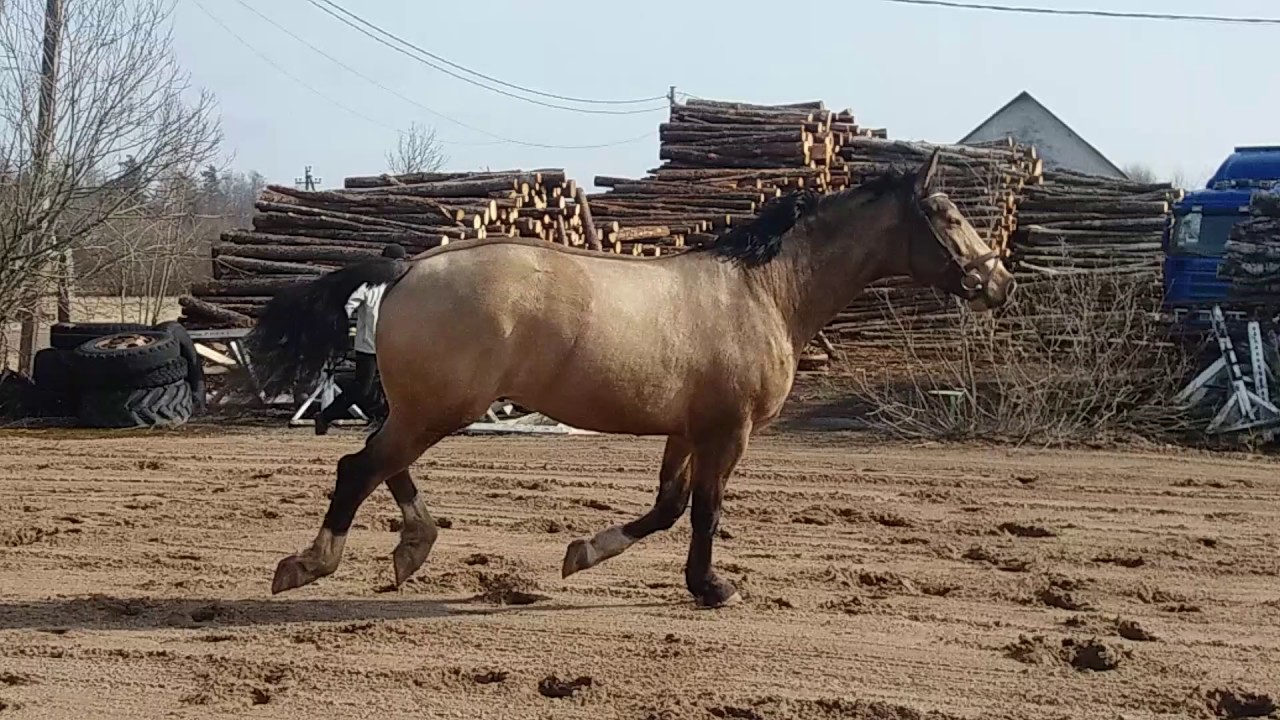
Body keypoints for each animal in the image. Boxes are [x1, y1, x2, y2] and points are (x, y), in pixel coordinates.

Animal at [245, 149, 1015, 609]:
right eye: (947, 215)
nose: (999, 284)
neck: (763, 290)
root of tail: (406, 268)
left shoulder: (687, 429)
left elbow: (668, 507)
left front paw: (582, 554)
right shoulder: (727, 432)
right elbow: (704, 511)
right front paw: (711, 587)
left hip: (425, 407)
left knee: (381, 464)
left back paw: (413, 546)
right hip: (440, 408)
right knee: (359, 467)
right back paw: (310, 563)